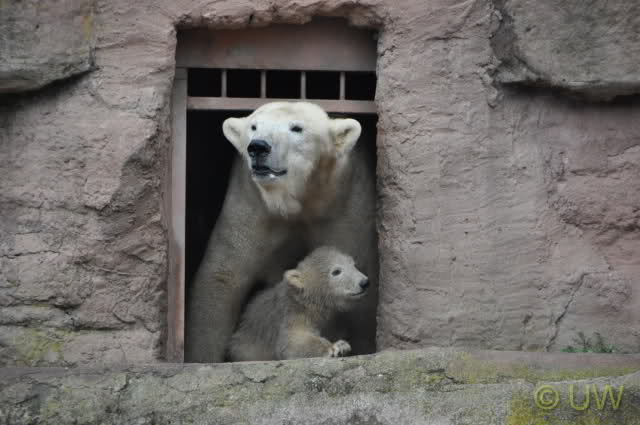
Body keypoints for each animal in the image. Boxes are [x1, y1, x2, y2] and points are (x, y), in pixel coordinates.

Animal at [228, 246, 369, 361]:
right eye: (336, 271)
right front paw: (334, 347)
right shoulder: (290, 313)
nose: (364, 282)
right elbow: (291, 342)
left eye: (353, 265)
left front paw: (342, 345)